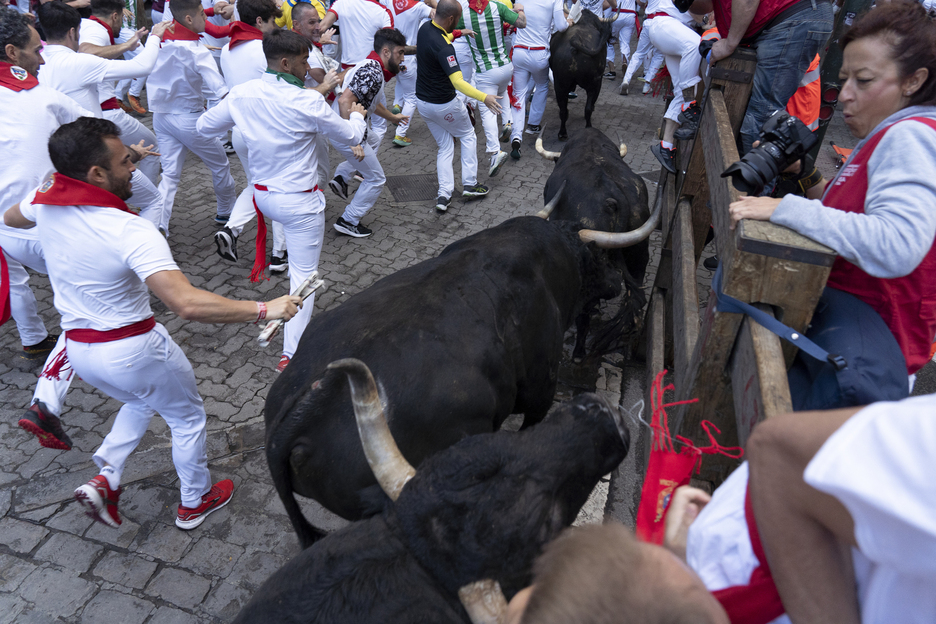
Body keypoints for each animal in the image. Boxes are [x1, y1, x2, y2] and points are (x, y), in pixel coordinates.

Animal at [544, 8, 616, 140]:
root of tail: (575, 48)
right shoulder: (597, 82)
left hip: (560, 83)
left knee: (563, 110)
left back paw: (562, 133)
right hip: (594, 83)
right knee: (587, 108)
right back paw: (588, 128)